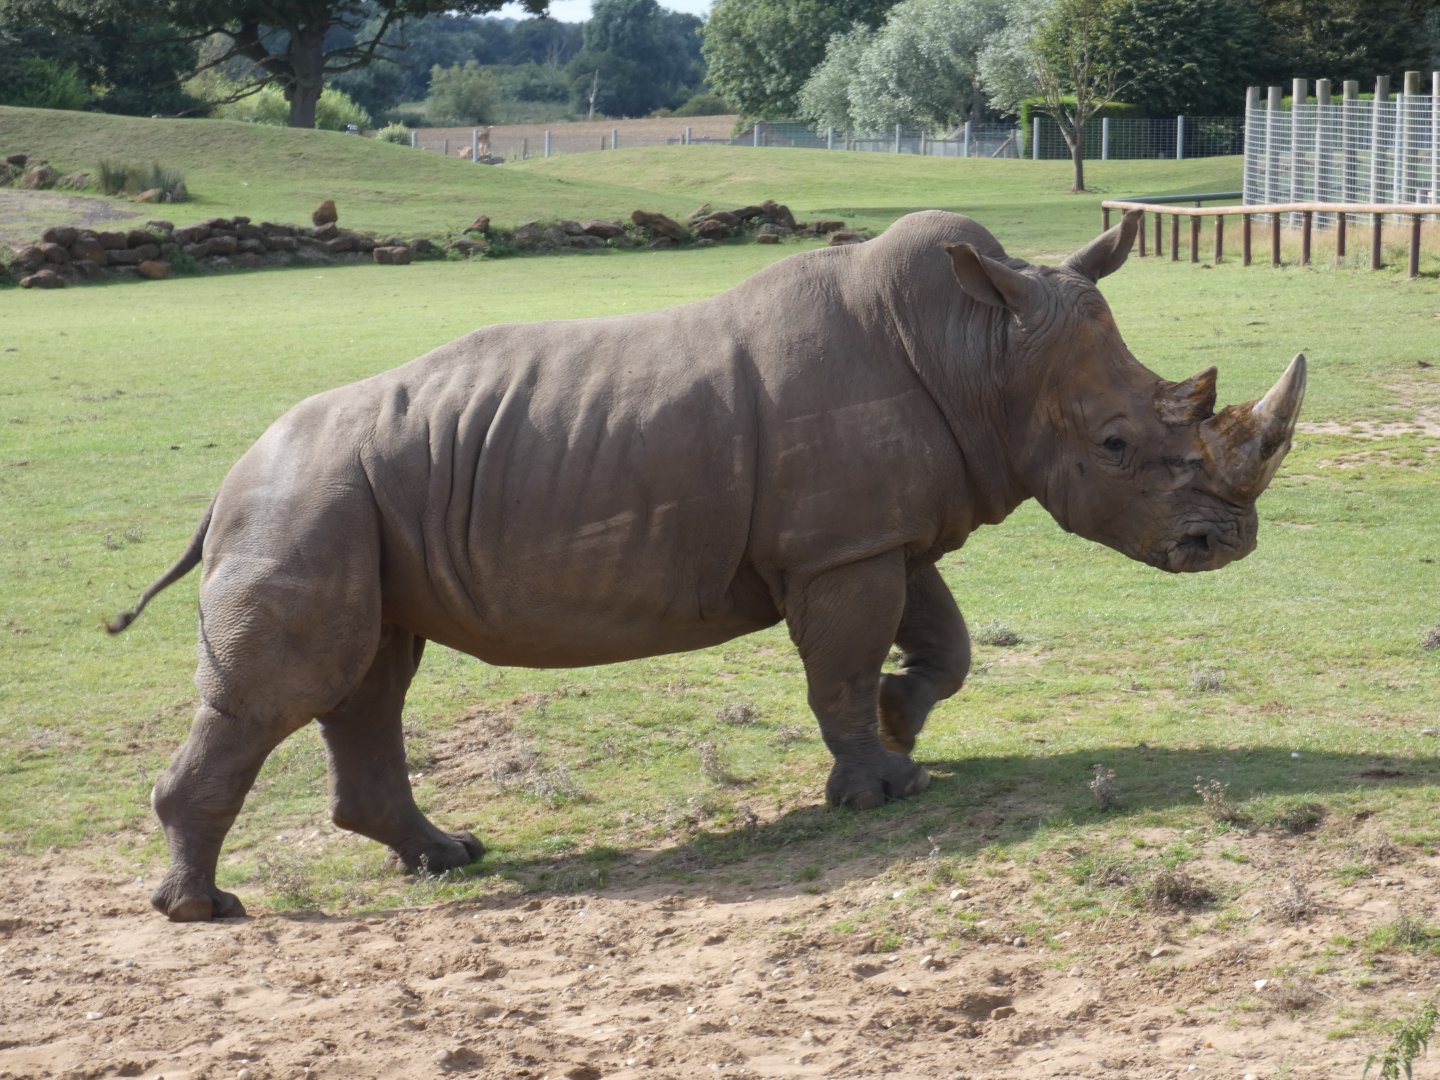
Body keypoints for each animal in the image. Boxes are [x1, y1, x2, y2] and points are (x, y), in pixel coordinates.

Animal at [111, 210, 1305, 921]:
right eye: (1116, 448)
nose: (1226, 545)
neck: (980, 354)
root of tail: (228, 481)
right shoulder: (841, 548)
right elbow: (838, 666)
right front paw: (875, 793)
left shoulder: (874, 532)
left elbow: (943, 642)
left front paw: (902, 728)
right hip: (306, 499)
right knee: (304, 685)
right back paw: (206, 912)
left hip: (348, 503)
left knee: (371, 678)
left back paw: (447, 857)